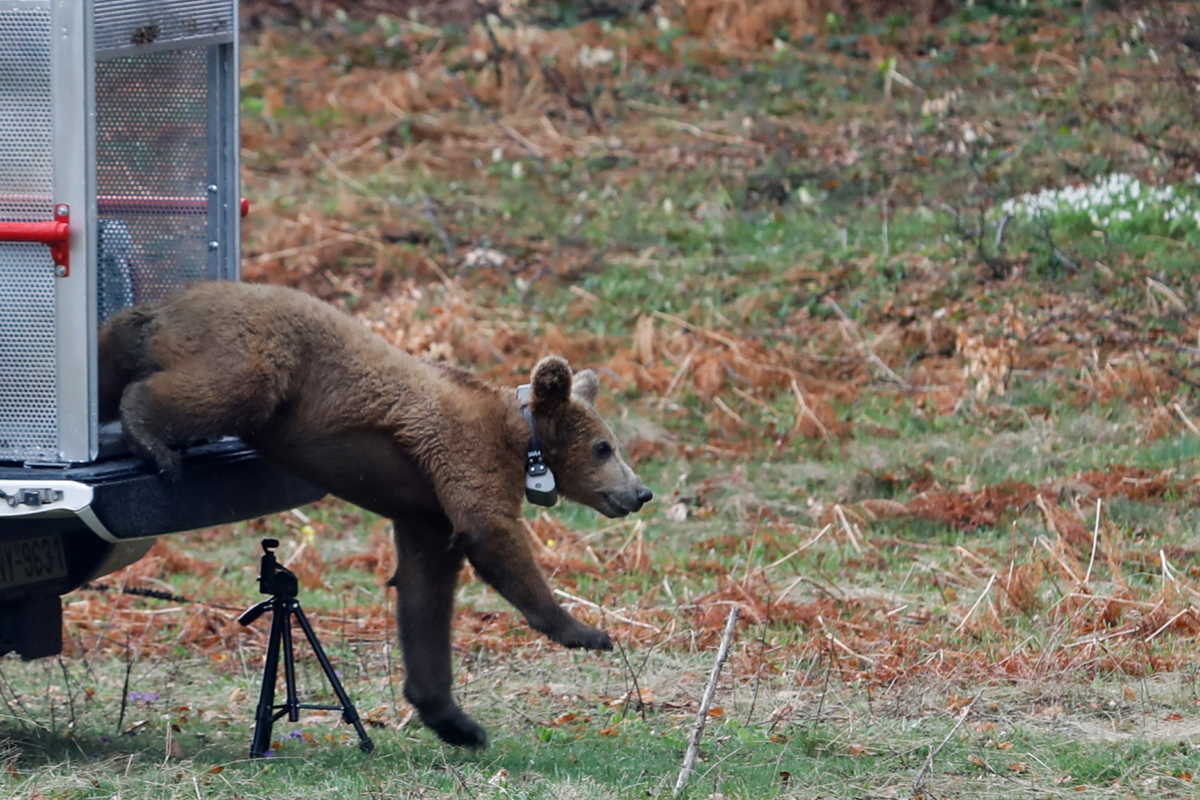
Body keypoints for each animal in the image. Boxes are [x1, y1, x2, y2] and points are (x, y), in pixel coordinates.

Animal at [97, 280, 652, 743]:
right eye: (604, 447)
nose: (640, 492)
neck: (521, 443)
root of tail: (161, 308)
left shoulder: (427, 511)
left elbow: (425, 593)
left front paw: (454, 719)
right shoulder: (464, 456)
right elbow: (491, 534)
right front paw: (586, 631)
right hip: (253, 355)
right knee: (215, 389)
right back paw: (151, 440)